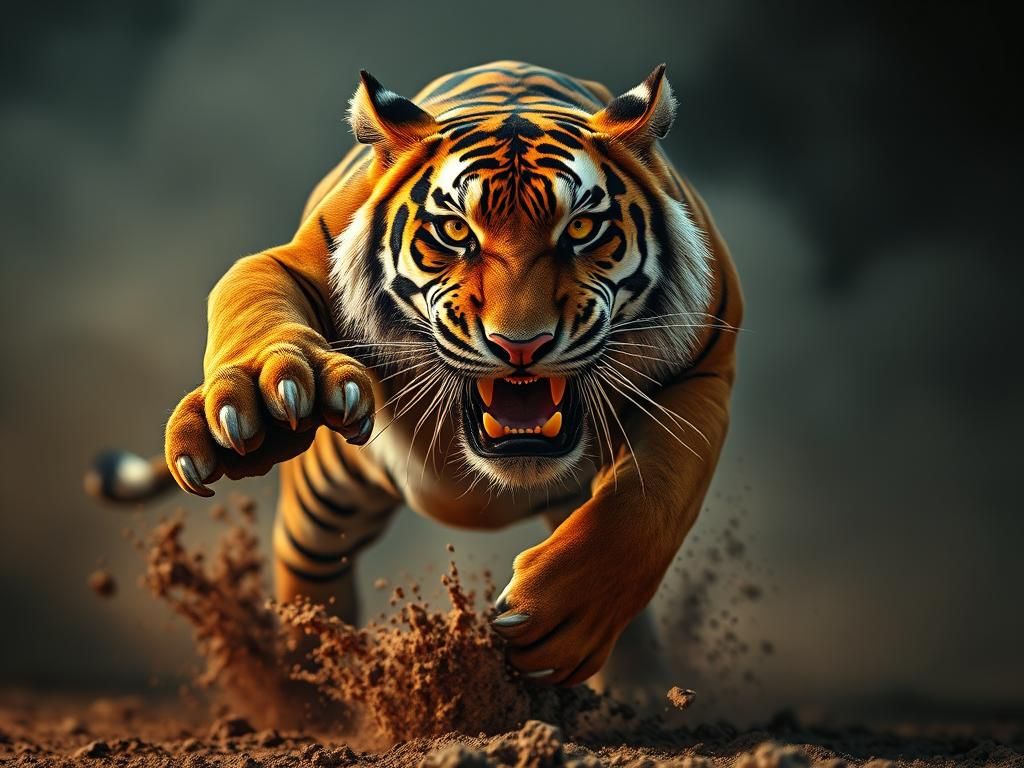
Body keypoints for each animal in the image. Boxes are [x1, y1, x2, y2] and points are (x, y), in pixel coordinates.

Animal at [88, 61, 742, 689]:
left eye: (581, 229)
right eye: (455, 232)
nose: (521, 344)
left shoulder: (705, 375)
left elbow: (646, 503)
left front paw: (556, 625)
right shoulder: (293, 260)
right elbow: (252, 299)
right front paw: (262, 402)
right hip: (322, 506)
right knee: (309, 588)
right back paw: (308, 696)